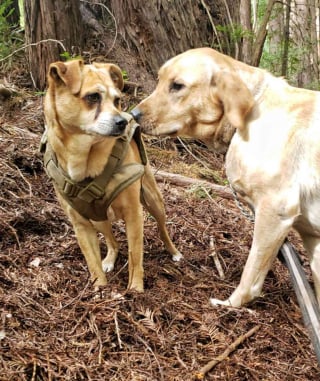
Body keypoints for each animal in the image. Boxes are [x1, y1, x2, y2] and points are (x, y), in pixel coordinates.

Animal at [43, 58, 181, 290]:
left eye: (117, 100)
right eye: (93, 97)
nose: (123, 121)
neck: (85, 160)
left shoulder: (134, 214)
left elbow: (135, 255)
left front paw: (135, 289)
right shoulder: (81, 224)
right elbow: (92, 262)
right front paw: (99, 289)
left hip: (153, 200)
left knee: (162, 228)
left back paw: (174, 251)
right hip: (98, 218)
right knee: (111, 240)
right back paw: (109, 258)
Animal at [131, 46, 320, 306]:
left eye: (177, 85)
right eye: (159, 80)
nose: (133, 114)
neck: (250, 113)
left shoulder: (276, 210)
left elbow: (250, 275)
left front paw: (231, 305)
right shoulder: (313, 241)